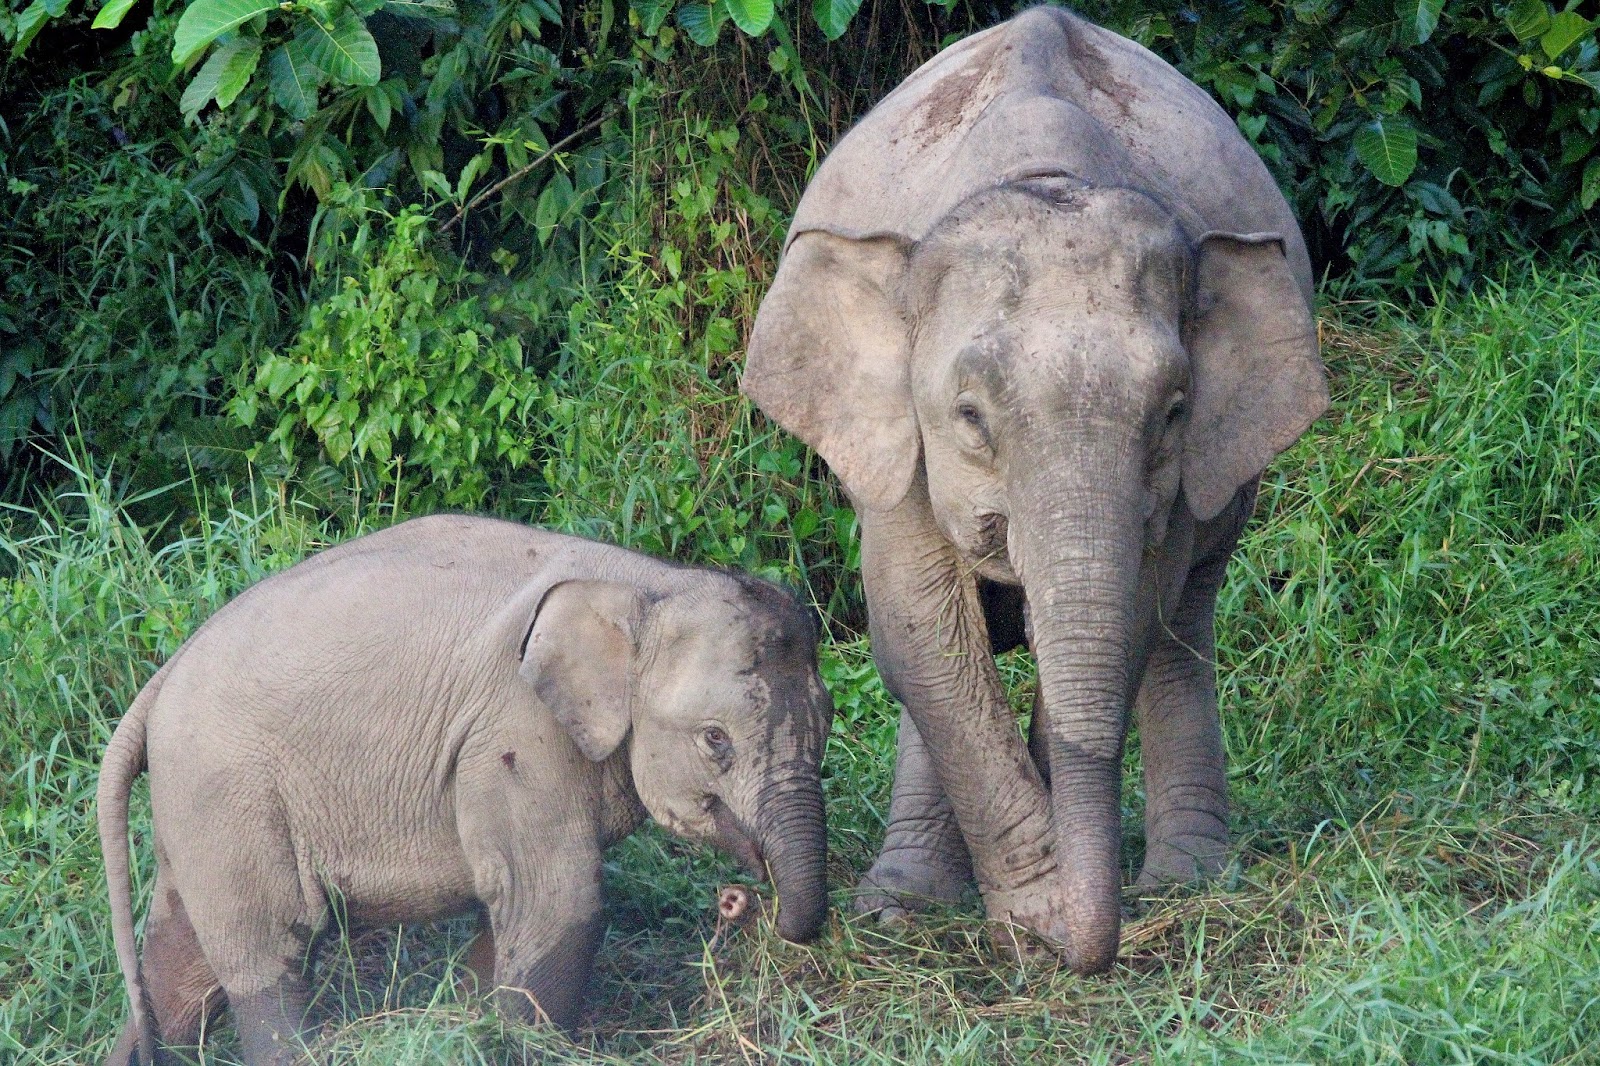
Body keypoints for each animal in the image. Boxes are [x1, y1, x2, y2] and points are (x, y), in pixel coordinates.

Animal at [97, 515, 834, 1065]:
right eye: (715, 740)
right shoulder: (516, 733)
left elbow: (509, 911)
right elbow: (560, 905)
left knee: (179, 972)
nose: (741, 902)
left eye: (827, 725)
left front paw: (472, 1025)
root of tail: (157, 683)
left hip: (197, 811)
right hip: (230, 797)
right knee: (269, 952)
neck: (647, 582)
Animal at [742, 6, 1327, 975]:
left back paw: (1189, 884)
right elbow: (920, 632)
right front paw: (1031, 914)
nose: (1081, 943)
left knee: (1183, 626)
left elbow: (1131, 619)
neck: (1046, 174)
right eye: (970, 416)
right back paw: (900, 905)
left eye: (1173, 412)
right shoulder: (894, 443)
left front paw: (1049, 911)